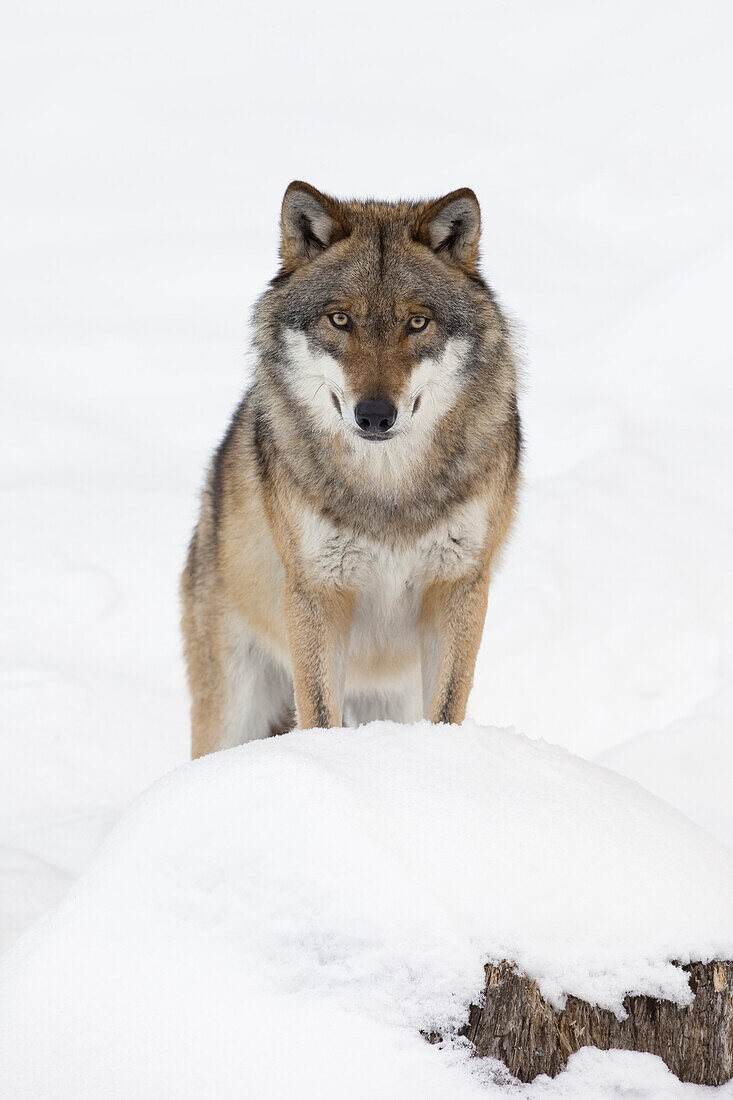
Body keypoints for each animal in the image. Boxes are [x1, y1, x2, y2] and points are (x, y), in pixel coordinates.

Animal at [179, 184, 517, 761]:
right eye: (340, 320)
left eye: (417, 322)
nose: (375, 415)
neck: (388, 490)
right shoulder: (317, 591)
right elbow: (318, 711)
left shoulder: (459, 585)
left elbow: (448, 705)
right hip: (233, 709)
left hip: (395, 693)